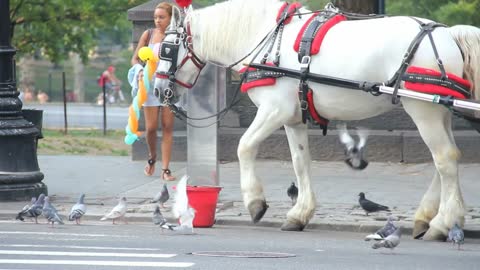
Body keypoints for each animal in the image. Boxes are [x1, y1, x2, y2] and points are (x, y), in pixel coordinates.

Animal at [155, 0, 480, 240]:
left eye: (167, 49)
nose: (158, 90)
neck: (268, 41)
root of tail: (448, 34)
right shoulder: (292, 118)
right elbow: (301, 162)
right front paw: (299, 214)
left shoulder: (273, 110)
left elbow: (244, 147)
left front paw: (255, 202)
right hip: (439, 111)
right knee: (446, 159)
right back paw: (429, 217)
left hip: (423, 109)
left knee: (445, 158)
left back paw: (442, 223)